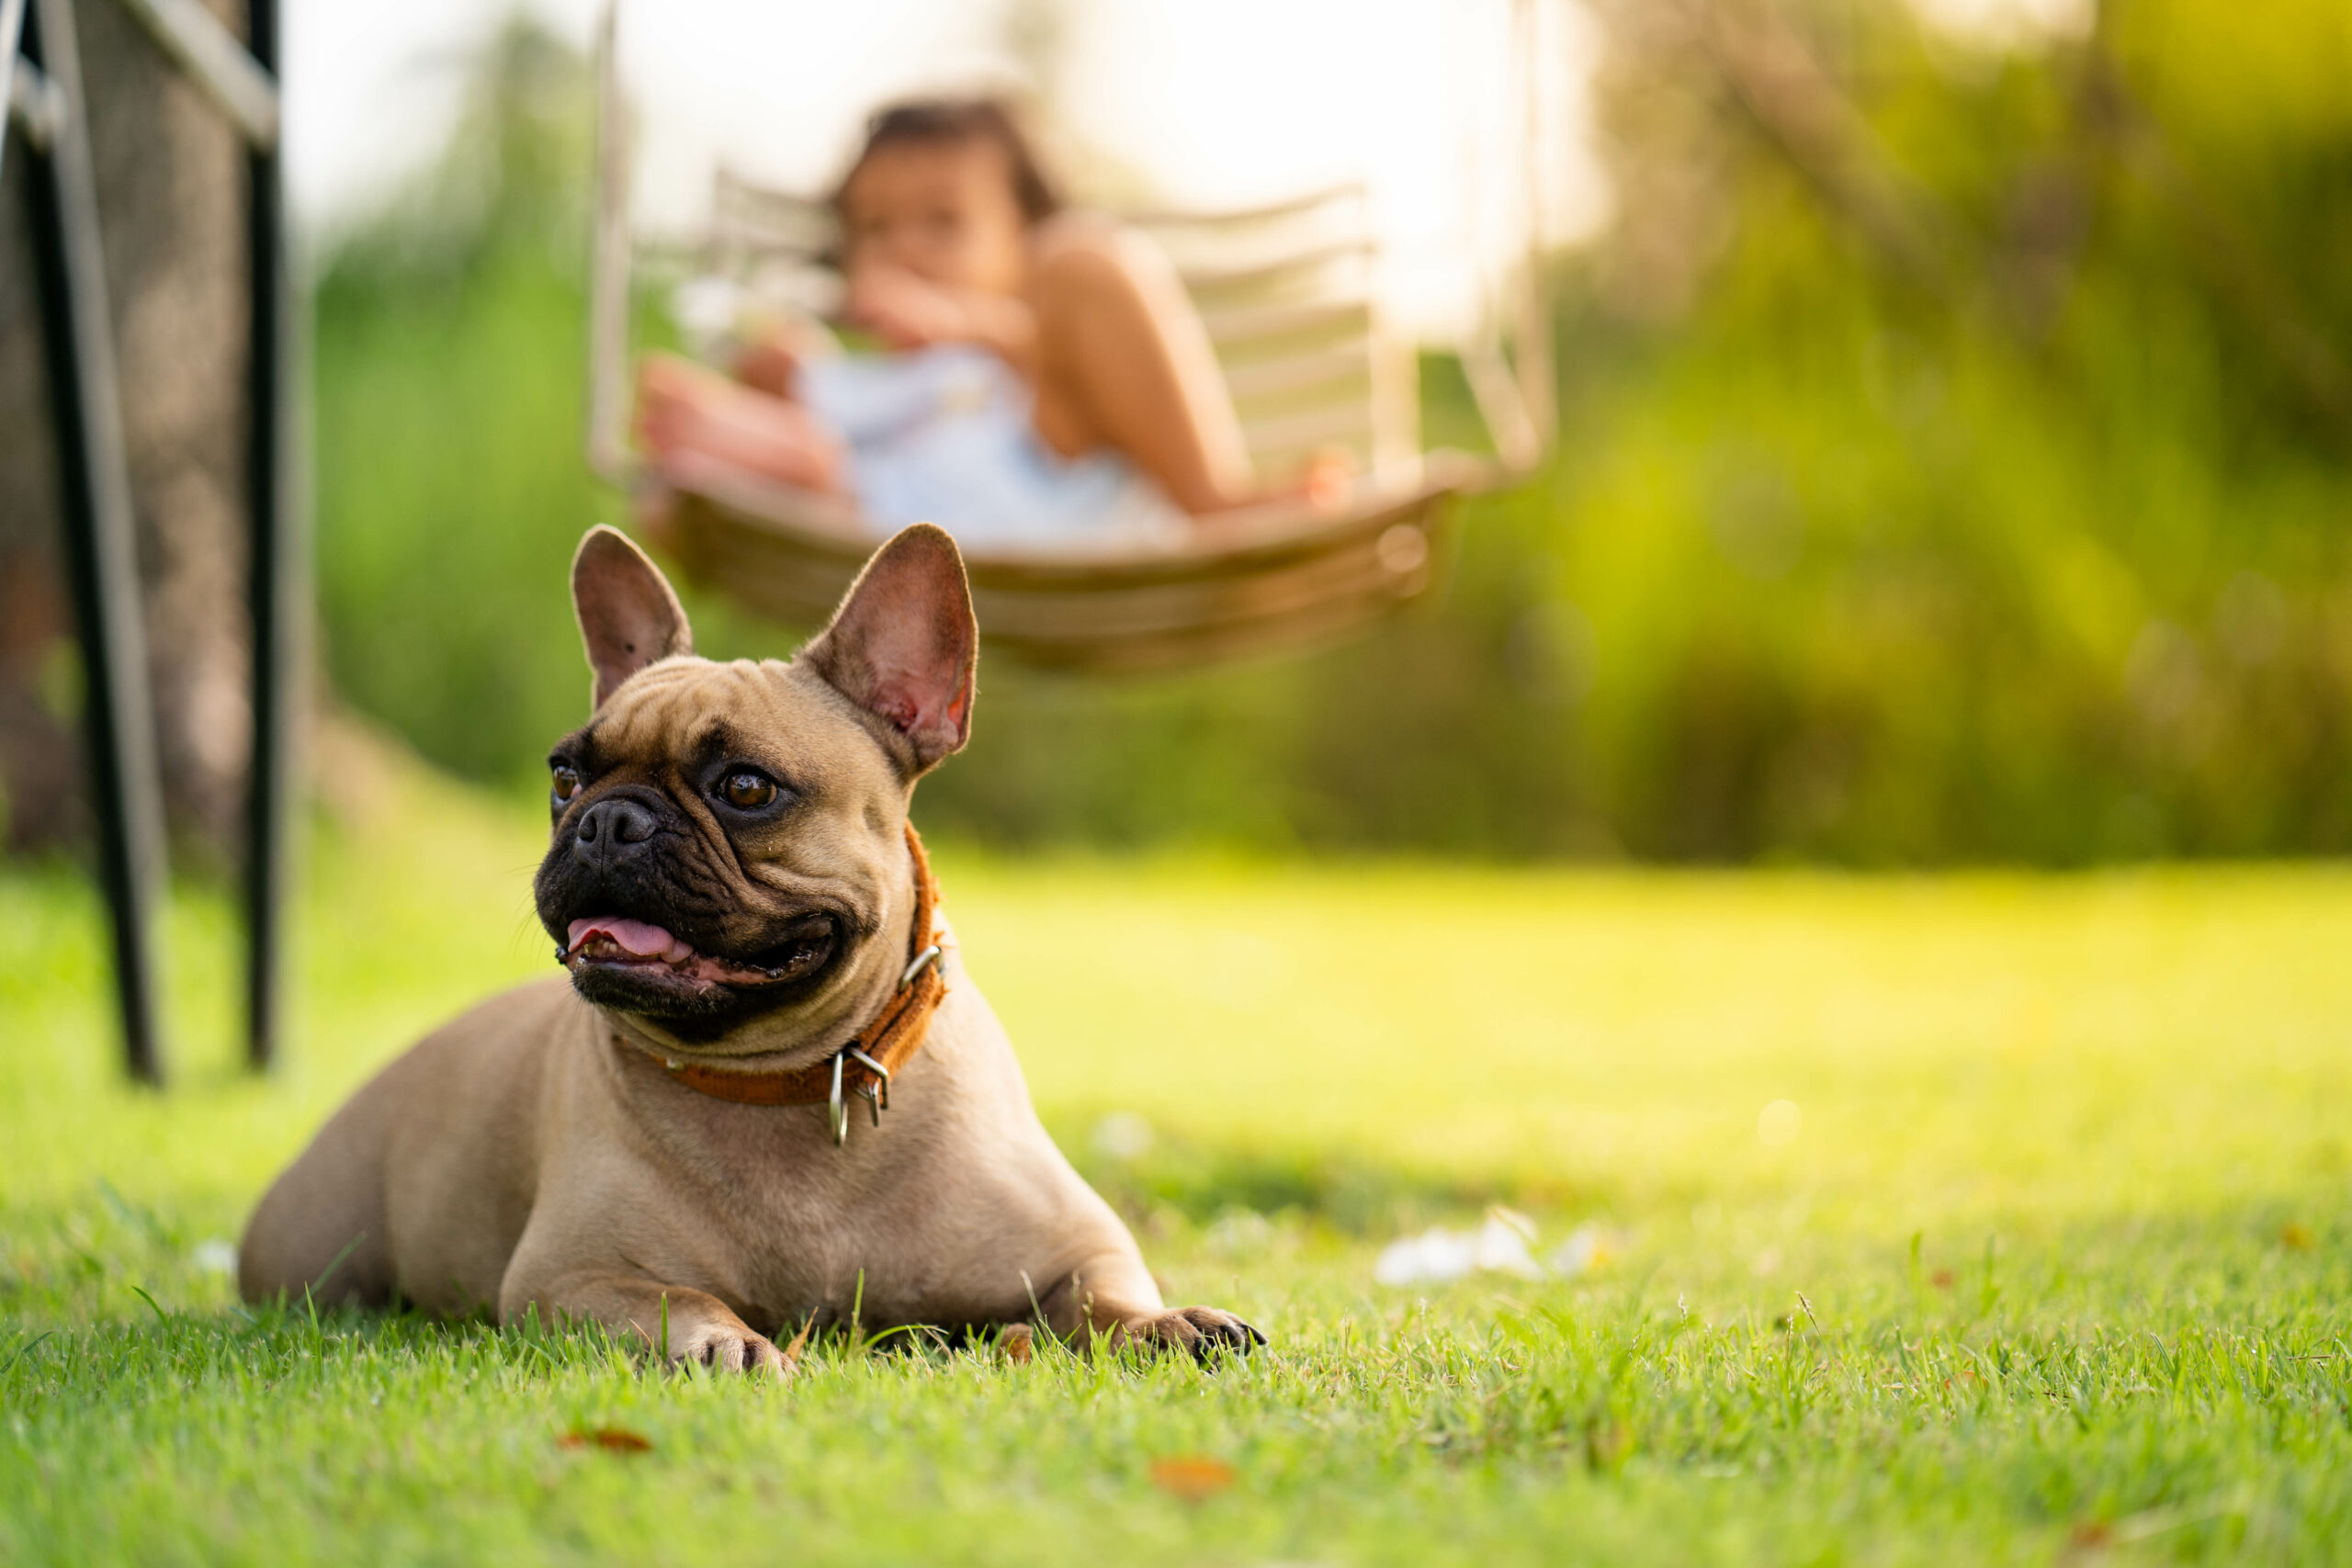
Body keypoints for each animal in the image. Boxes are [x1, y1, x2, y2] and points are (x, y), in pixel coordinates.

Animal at [243, 522, 1270, 1363]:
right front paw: (719, 1341)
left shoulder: (1074, 1243)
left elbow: (1104, 1296)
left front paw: (1168, 1323)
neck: (787, 1079)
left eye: (746, 787)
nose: (607, 820)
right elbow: (674, 1298)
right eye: (564, 775)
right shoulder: (569, 1276)